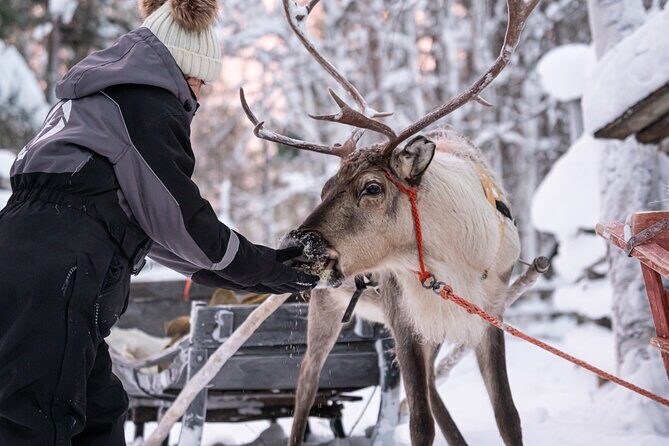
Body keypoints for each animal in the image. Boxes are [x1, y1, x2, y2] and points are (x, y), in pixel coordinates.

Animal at [239, 1, 540, 445]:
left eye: (372, 187)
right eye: (325, 187)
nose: (292, 246)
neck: (452, 259)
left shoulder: (491, 310)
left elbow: (507, 414)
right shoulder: (404, 317)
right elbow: (419, 422)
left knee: (430, 384)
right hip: (327, 307)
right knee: (306, 384)